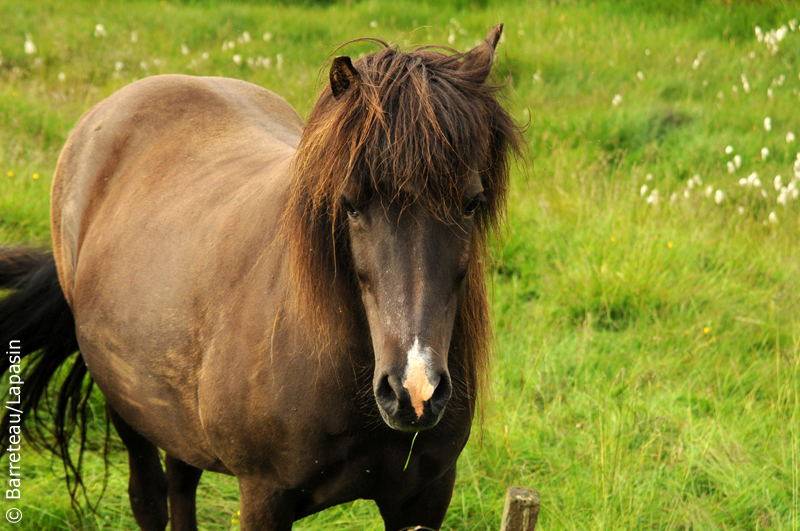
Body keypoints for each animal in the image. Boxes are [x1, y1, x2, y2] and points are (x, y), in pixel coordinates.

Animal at [0, 25, 520, 531]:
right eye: (350, 205)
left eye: (472, 203)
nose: (415, 391)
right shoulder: (263, 497)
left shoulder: (425, 497)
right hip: (127, 409)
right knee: (149, 497)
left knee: (182, 481)